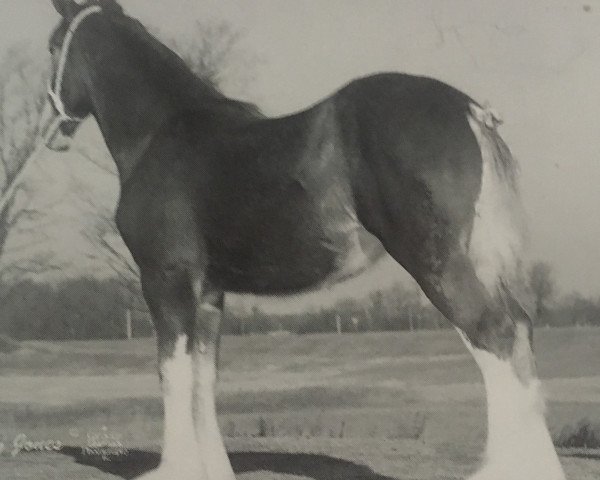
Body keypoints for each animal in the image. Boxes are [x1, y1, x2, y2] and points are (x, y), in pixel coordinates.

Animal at [44, 0, 564, 480]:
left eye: (52, 46)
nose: (51, 130)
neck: (162, 133)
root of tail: (469, 110)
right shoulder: (209, 292)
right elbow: (203, 377)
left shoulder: (165, 280)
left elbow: (171, 372)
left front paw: (175, 468)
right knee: (518, 333)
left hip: (438, 264)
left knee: (494, 335)